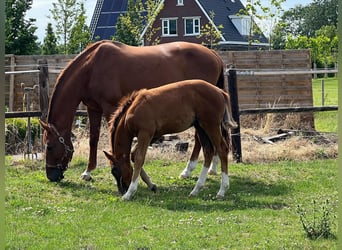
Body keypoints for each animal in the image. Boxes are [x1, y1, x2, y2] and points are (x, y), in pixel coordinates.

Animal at [39, 40, 227, 183]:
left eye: (49, 146)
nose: (51, 176)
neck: (91, 67)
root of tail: (214, 54)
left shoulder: (111, 108)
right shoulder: (94, 109)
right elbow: (94, 139)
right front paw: (88, 172)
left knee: (201, 138)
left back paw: (189, 169)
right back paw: (211, 167)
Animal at [104, 79, 238, 200]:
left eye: (115, 171)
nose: (122, 190)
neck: (132, 110)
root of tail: (220, 92)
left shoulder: (145, 133)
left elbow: (139, 158)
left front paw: (129, 193)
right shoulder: (154, 135)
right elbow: (133, 155)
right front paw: (151, 185)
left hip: (211, 125)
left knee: (222, 149)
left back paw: (222, 190)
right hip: (200, 127)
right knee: (208, 151)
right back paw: (196, 189)